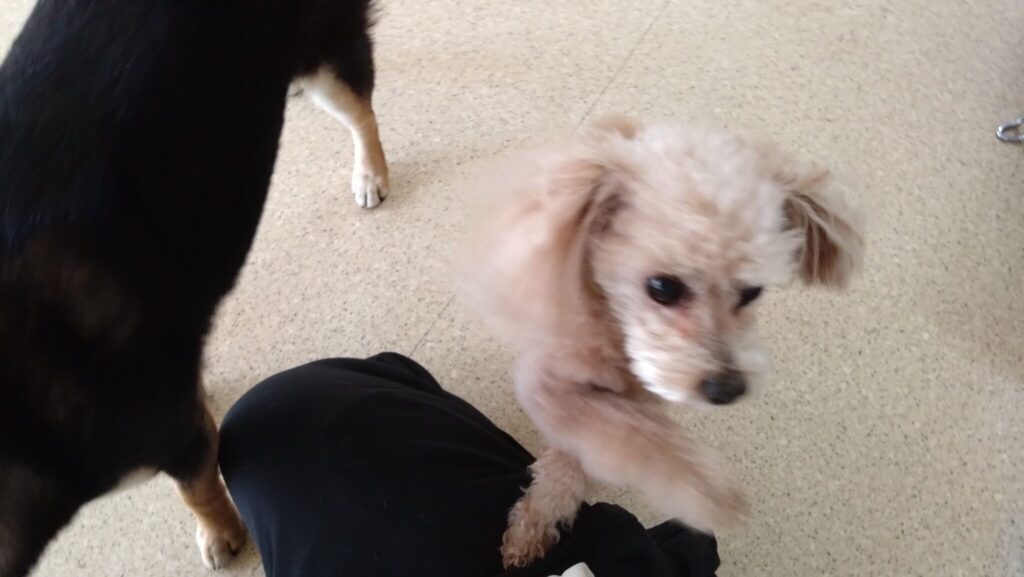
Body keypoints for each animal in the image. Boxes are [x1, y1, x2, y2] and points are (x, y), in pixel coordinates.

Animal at [0, 0, 389, 575]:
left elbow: (196, 490)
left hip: (326, 58)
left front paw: (222, 532)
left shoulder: (170, 432)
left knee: (361, 111)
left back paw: (369, 173)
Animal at [461, 115, 864, 568]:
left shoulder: (645, 395)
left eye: (752, 291)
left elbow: (620, 438)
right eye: (662, 287)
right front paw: (708, 493)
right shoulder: (547, 383)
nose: (726, 389)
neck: (615, 335)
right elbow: (630, 437)